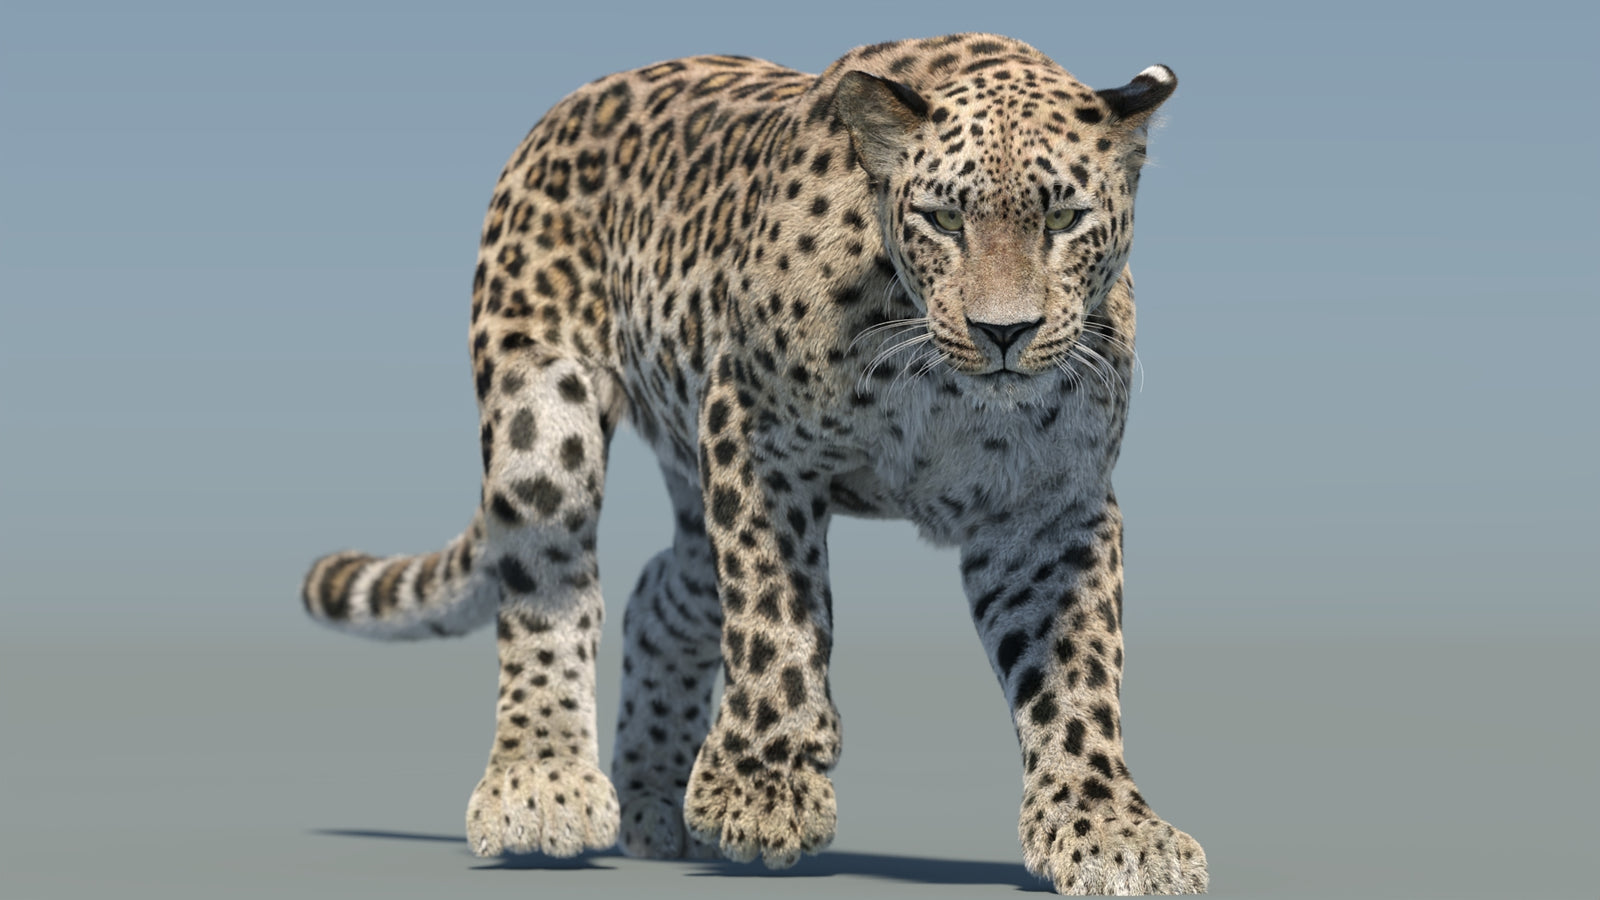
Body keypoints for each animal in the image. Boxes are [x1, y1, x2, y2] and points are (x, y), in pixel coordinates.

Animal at [300, 33, 1205, 895]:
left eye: (1066, 219)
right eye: (945, 220)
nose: (1004, 332)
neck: (937, 379)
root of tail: (573, 102)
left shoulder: (1049, 506)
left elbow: (1075, 671)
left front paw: (1109, 828)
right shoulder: (757, 433)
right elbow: (776, 614)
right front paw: (759, 792)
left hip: (690, 479)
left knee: (661, 594)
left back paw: (653, 807)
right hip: (544, 406)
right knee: (550, 585)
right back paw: (542, 784)